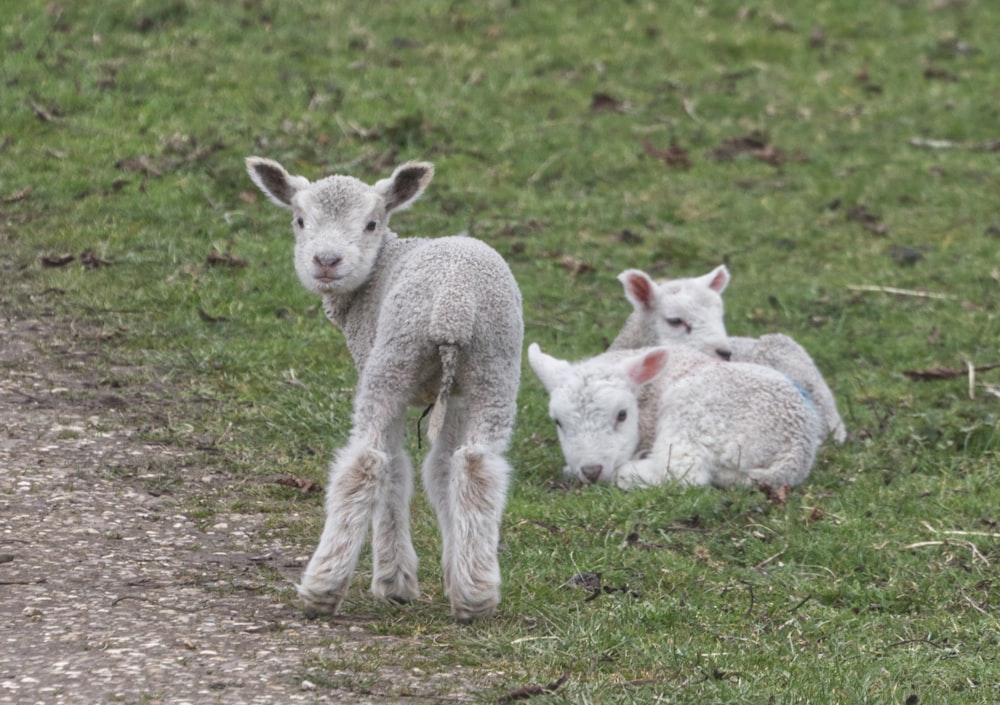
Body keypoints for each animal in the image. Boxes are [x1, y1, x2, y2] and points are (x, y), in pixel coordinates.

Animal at [247, 155, 524, 620]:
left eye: (371, 223)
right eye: (300, 220)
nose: (326, 261)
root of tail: (453, 306)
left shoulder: (373, 363)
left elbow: (396, 469)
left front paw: (394, 581)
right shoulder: (458, 398)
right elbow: (441, 470)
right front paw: (451, 573)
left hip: (393, 360)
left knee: (367, 460)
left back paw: (323, 586)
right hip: (495, 368)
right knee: (477, 466)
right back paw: (476, 592)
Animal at [524, 342, 820, 490]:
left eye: (622, 415)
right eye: (558, 422)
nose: (591, 471)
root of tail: (796, 451)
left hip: (694, 412)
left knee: (683, 470)